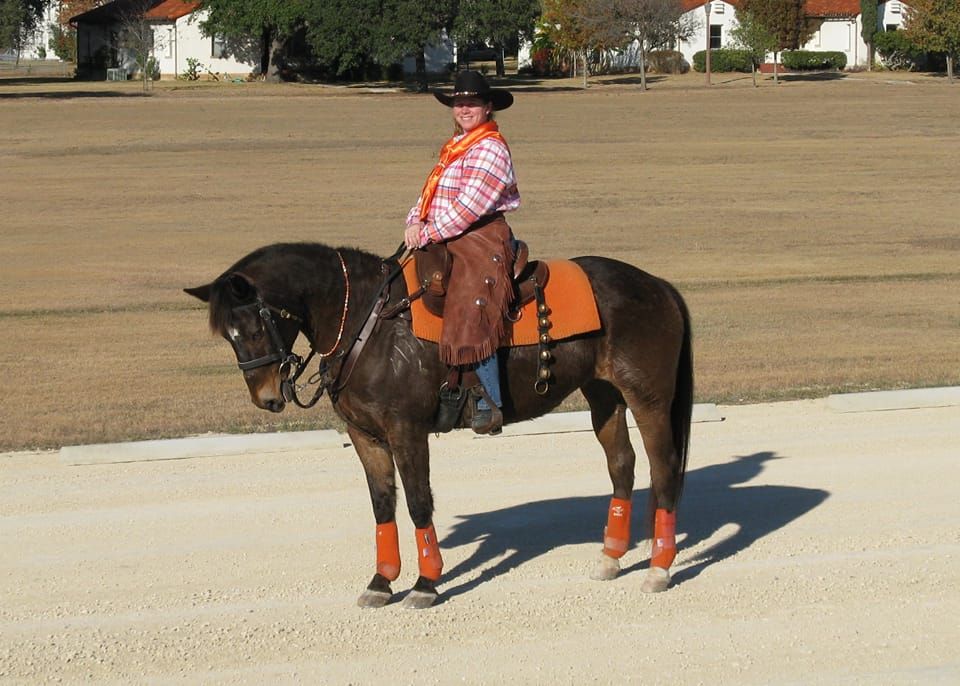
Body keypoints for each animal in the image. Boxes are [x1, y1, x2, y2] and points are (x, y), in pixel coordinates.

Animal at [188, 245, 692, 612]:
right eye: (229, 335)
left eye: (255, 326)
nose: (267, 397)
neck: (369, 326)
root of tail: (657, 285)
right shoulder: (365, 434)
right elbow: (382, 504)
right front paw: (381, 581)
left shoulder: (406, 430)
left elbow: (417, 503)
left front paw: (426, 583)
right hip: (603, 394)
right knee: (622, 464)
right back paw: (611, 558)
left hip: (647, 397)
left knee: (663, 468)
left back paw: (659, 568)